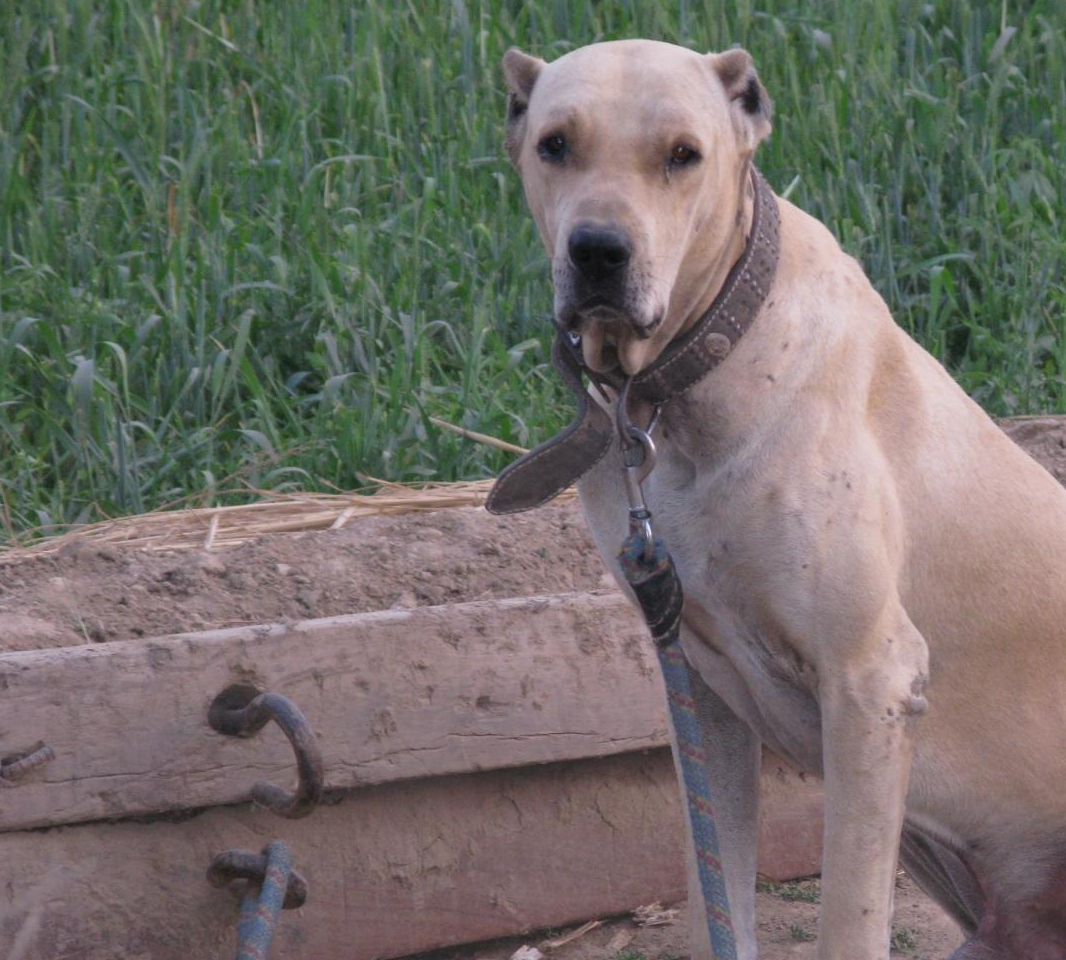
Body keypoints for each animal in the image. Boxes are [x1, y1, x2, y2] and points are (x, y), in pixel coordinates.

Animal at [496, 39, 1066, 958]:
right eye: (555, 144)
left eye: (683, 155)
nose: (598, 251)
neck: (683, 385)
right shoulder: (698, 685)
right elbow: (716, 898)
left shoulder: (869, 684)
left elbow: (848, 919)